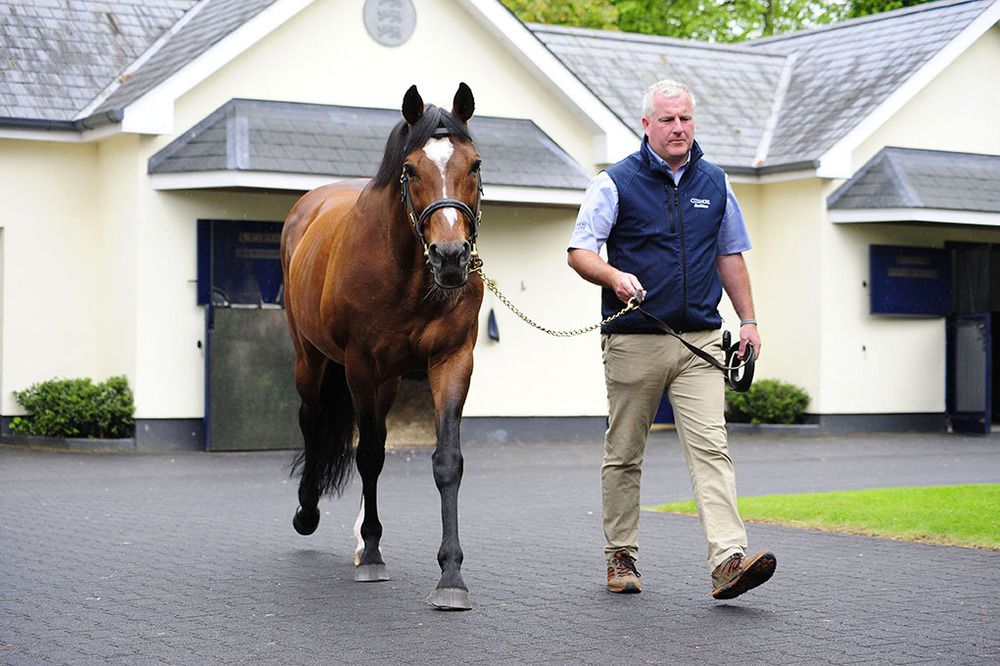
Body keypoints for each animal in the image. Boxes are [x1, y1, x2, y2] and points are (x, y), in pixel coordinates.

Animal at [282, 81, 484, 608]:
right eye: (410, 170)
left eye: (474, 165)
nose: (451, 257)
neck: (407, 274)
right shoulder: (359, 366)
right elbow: (368, 455)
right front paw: (373, 554)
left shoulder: (452, 361)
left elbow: (447, 462)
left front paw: (451, 576)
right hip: (311, 360)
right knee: (313, 420)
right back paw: (308, 512)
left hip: (388, 380)